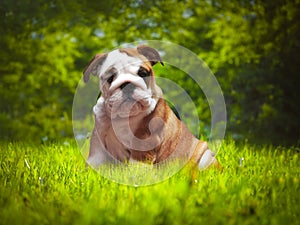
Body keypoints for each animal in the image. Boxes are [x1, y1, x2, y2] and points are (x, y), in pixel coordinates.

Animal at [83, 44, 219, 170]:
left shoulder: (145, 138)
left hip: (204, 156)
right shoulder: (98, 145)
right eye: (110, 78)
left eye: (143, 73)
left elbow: (138, 163)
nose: (127, 84)